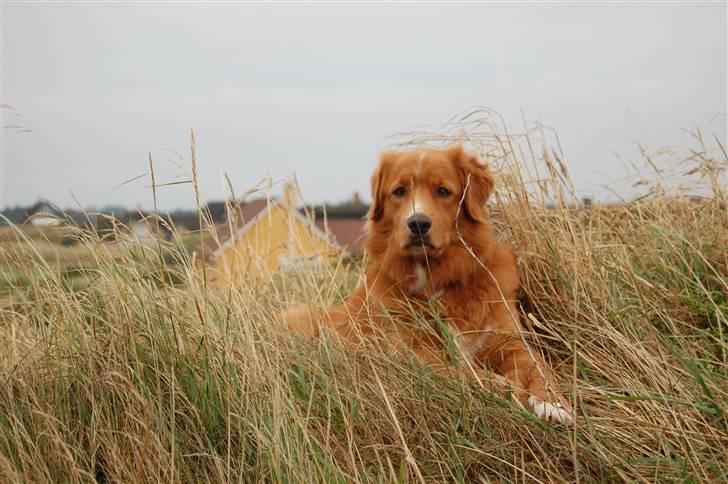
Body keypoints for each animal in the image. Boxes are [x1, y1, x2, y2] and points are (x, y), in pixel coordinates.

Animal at [284, 146, 576, 426]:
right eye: (399, 191)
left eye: (443, 191)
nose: (418, 223)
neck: (438, 279)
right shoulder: (415, 355)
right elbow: (468, 374)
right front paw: (509, 389)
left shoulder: (511, 342)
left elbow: (539, 369)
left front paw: (553, 404)